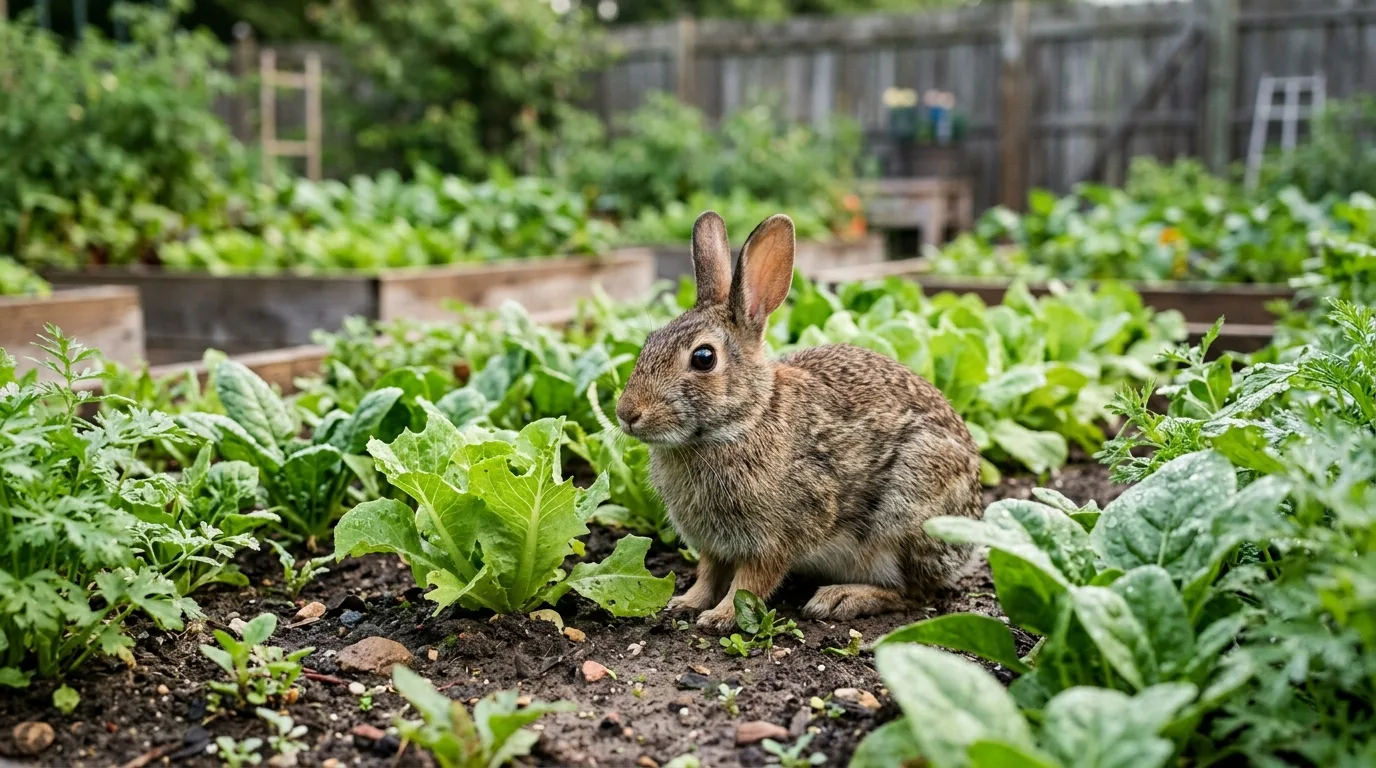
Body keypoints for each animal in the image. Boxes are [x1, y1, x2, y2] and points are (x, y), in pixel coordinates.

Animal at [615, 211, 983, 634]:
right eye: (649, 341)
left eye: (703, 358)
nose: (626, 413)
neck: (744, 422)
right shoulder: (714, 545)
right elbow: (708, 573)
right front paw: (685, 603)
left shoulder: (779, 536)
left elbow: (750, 582)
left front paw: (721, 617)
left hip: (906, 517)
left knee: (916, 594)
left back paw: (840, 598)